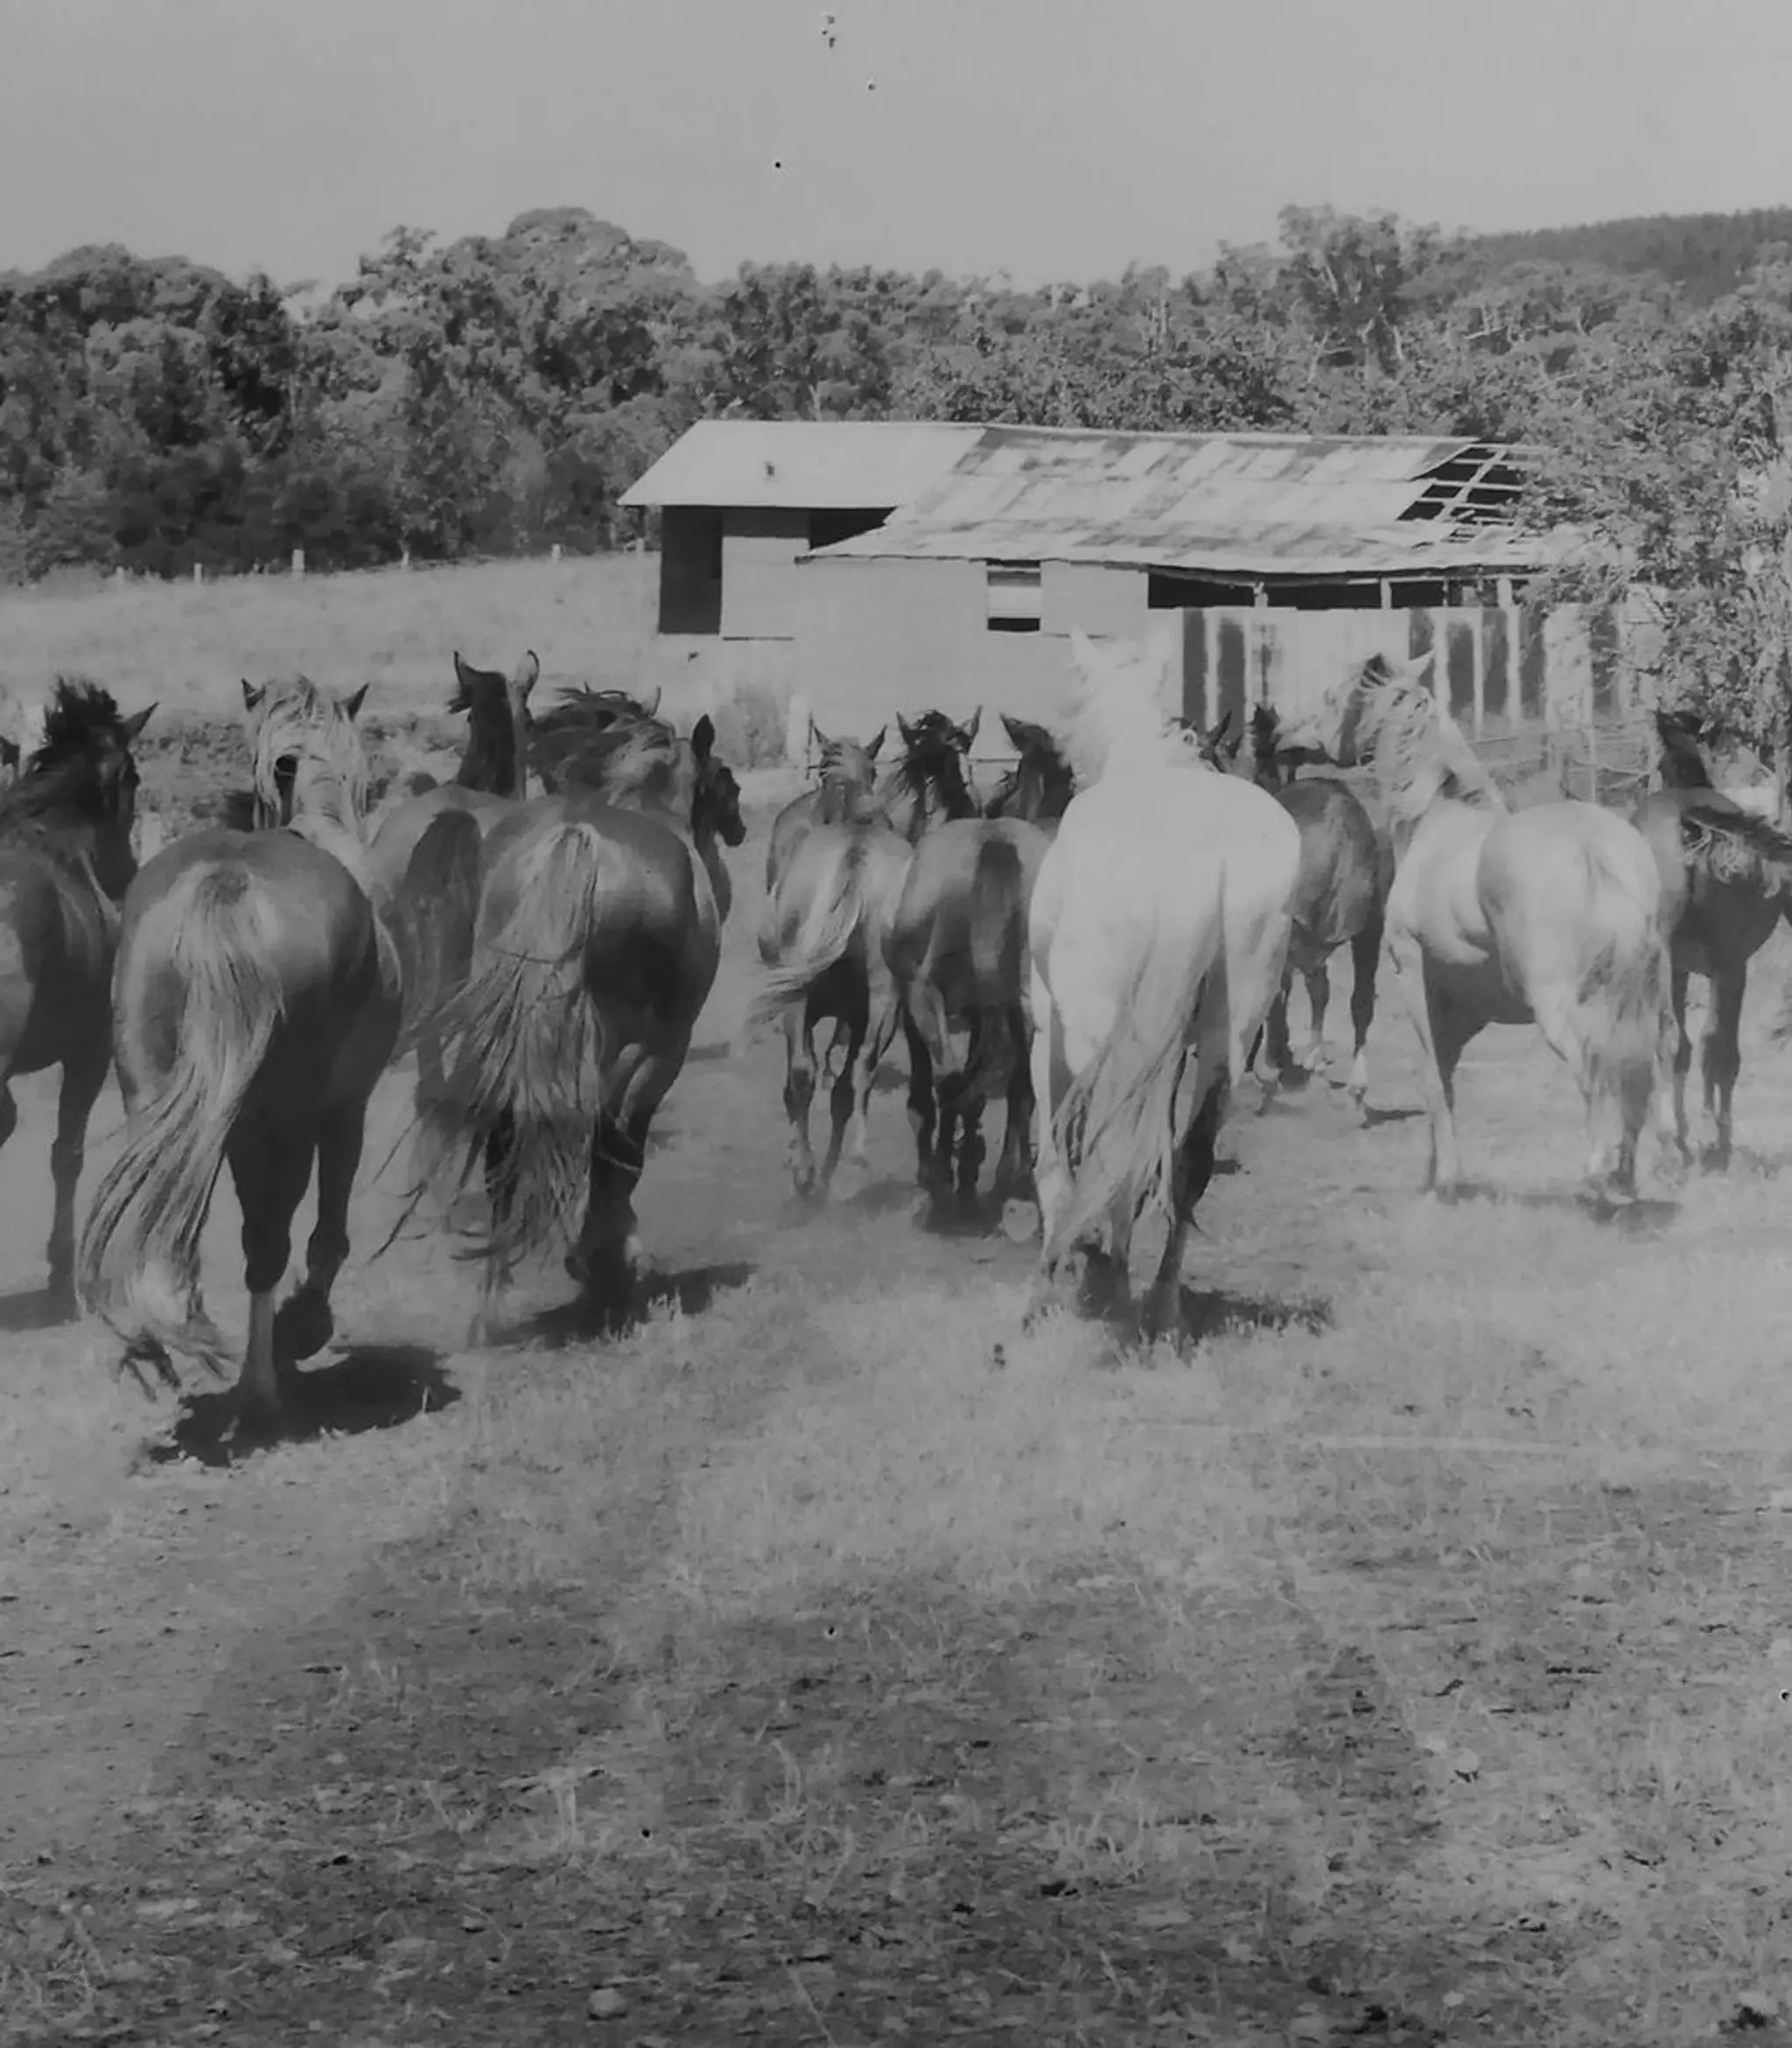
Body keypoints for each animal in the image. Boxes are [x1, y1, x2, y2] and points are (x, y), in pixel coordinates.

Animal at [77, 675, 446, 1439]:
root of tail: (227, 885)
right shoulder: (344, 1106)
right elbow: (325, 1231)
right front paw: (305, 1323)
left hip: (154, 1092)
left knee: (159, 1215)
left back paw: (155, 1342)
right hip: (288, 1114)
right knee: (269, 1238)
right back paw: (262, 1388)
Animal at [401, 714, 745, 1342]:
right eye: (723, 780)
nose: (738, 826)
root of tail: (577, 840)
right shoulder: (662, 1052)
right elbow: (622, 1150)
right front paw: (610, 1255)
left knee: (504, 1143)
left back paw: (494, 1301)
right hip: (632, 1046)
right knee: (604, 1137)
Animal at [1026, 631, 1301, 1343]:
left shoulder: (1048, 1030)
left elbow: (1055, 1155)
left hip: (1098, 1029)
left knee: (1108, 1145)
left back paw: (1103, 1285)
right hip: (1230, 1033)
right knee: (1189, 1161)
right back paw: (1161, 1306)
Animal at [1273, 652, 1667, 1201]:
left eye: (1334, 697)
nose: (1282, 734)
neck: (1434, 821)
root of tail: (1594, 846)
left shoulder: (1414, 976)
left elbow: (1432, 1076)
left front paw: (1445, 1180)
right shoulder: (1465, 1003)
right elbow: (1445, 1075)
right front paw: (1438, 1170)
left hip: (1561, 1005)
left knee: (1594, 1069)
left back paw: (1600, 1172)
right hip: (1646, 999)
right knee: (1646, 1070)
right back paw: (1632, 1177)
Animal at [1630, 707, 1792, 1170]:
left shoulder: (1697, 967)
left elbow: (1693, 1049)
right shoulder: (1727, 966)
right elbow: (1718, 1049)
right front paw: (1715, 1139)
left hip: (1675, 962)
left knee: (1677, 1043)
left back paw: (1675, 1144)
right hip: (1718, 964)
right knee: (1705, 1046)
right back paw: (1691, 1141)